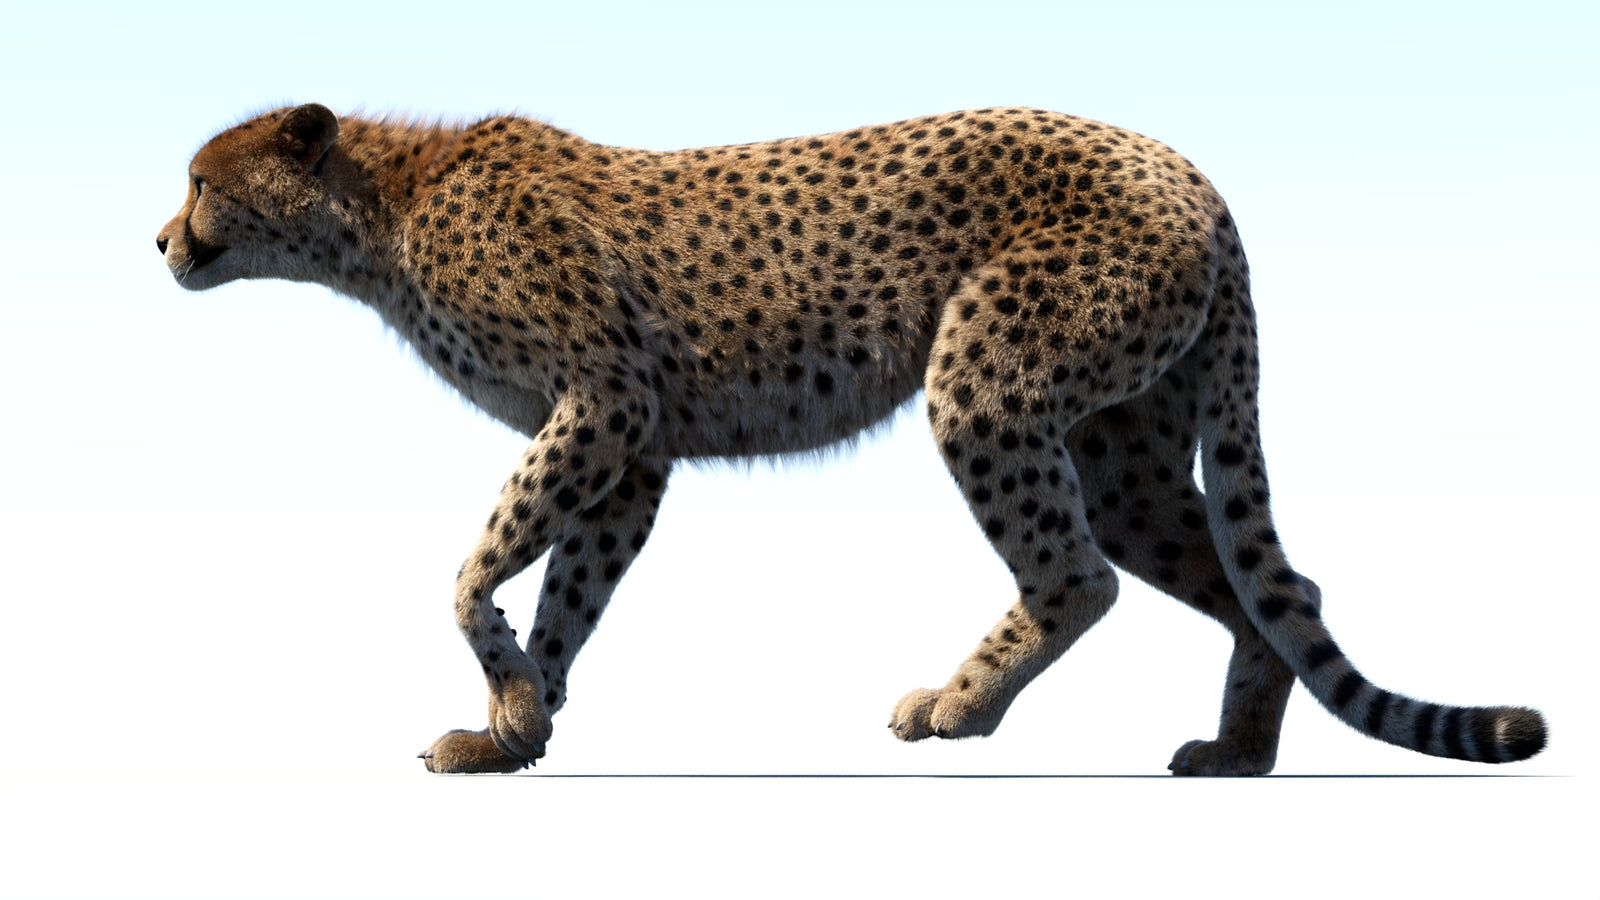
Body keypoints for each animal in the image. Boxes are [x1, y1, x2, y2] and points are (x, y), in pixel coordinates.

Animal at [157, 103, 1546, 775]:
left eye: (202, 180)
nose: (162, 239)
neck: (379, 212)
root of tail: (1188, 169)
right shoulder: (634, 448)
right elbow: (566, 592)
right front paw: (518, 728)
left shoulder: (603, 403)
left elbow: (470, 570)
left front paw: (504, 698)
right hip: (1126, 440)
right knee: (1273, 589)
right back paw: (1240, 754)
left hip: (984, 378)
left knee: (1077, 575)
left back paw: (957, 707)